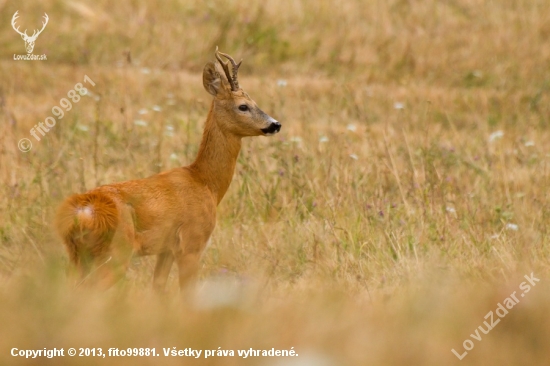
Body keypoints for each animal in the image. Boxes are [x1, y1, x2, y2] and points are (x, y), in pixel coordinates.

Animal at [56, 48, 282, 288]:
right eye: (243, 106)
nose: (275, 124)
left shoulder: (166, 250)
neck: (205, 183)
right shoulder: (192, 242)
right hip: (115, 251)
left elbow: (158, 286)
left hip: (79, 255)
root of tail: (81, 212)